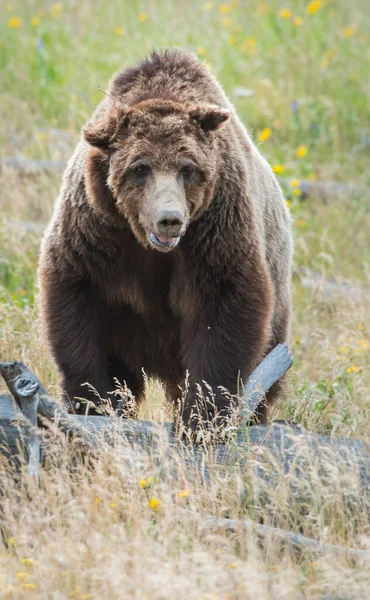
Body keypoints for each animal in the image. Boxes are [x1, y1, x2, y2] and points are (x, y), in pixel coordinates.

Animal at [37, 49, 292, 428]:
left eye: (187, 168)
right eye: (140, 167)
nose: (169, 219)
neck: (146, 244)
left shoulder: (216, 228)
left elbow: (226, 307)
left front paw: (202, 415)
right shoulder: (95, 231)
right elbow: (75, 297)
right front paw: (93, 401)